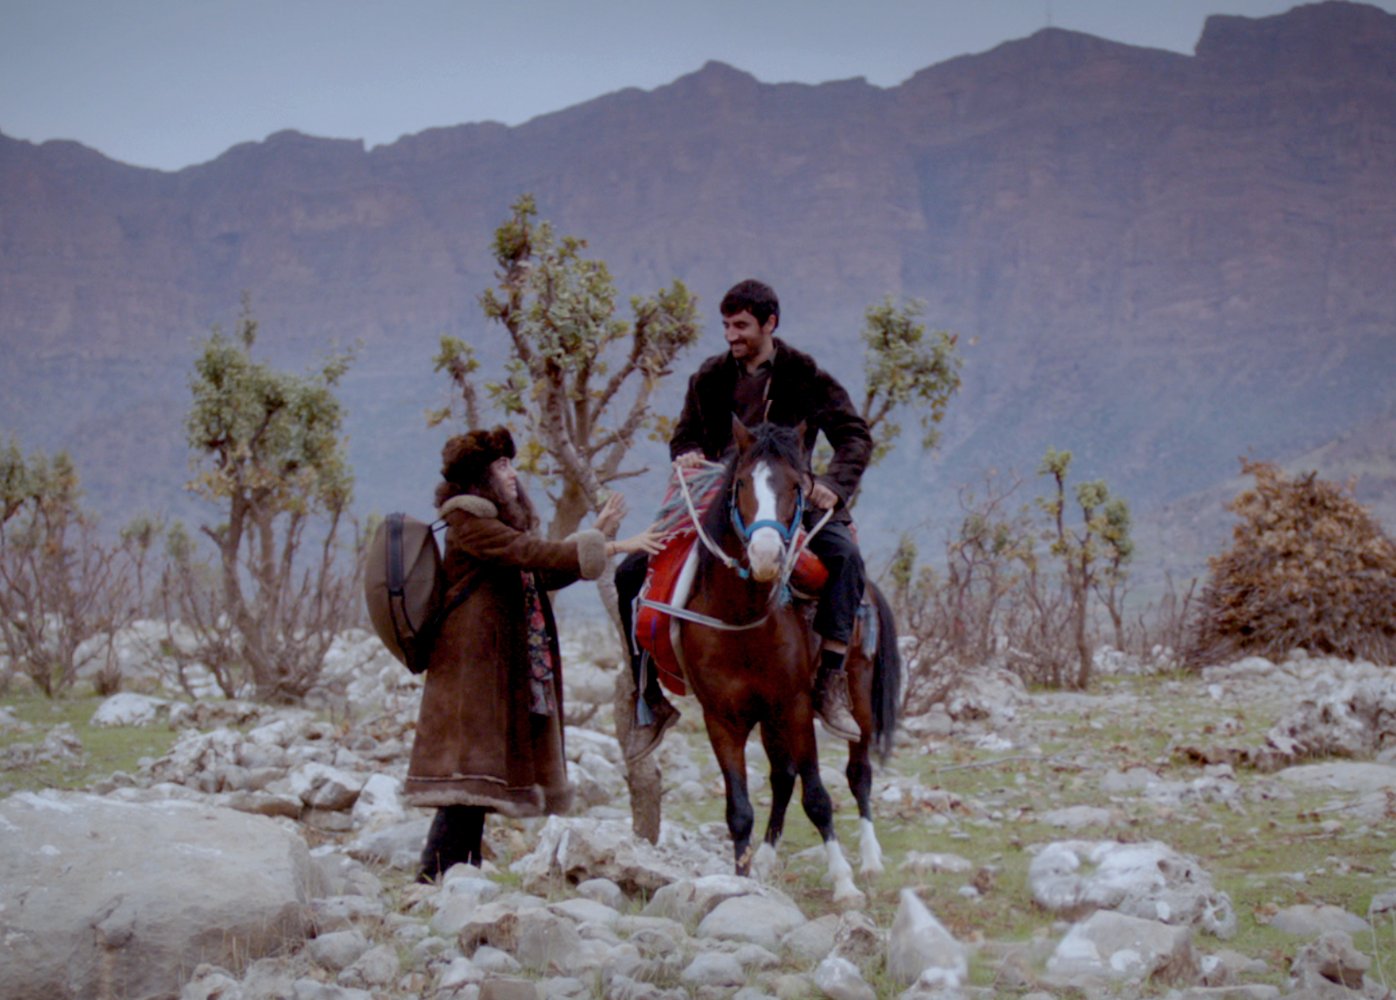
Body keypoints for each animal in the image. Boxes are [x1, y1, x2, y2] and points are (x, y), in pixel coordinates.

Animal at [670, 418, 899, 905]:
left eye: (798, 486)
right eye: (740, 483)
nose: (765, 555)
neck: (743, 621)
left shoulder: (795, 706)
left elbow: (817, 797)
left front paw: (844, 884)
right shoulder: (722, 718)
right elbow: (739, 809)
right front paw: (740, 881)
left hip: (857, 693)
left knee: (858, 772)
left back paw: (870, 860)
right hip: (769, 720)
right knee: (781, 778)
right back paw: (768, 858)